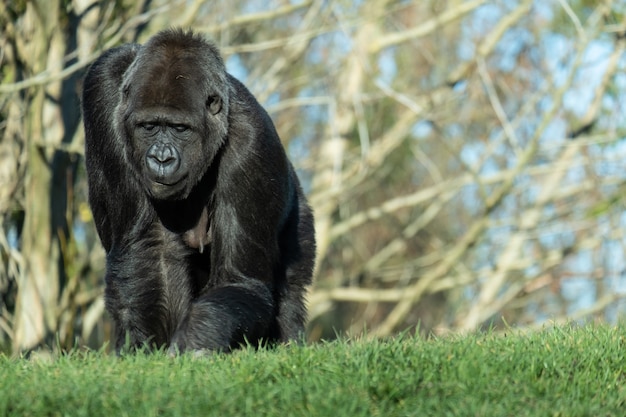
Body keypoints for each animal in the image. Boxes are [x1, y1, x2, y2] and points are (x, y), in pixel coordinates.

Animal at [82, 29, 314, 352]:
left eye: (180, 129)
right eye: (149, 126)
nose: (162, 159)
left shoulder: (253, 145)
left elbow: (239, 281)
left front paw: (196, 333)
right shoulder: (102, 88)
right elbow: (153, 251)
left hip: (300, 216)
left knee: (291, 290)